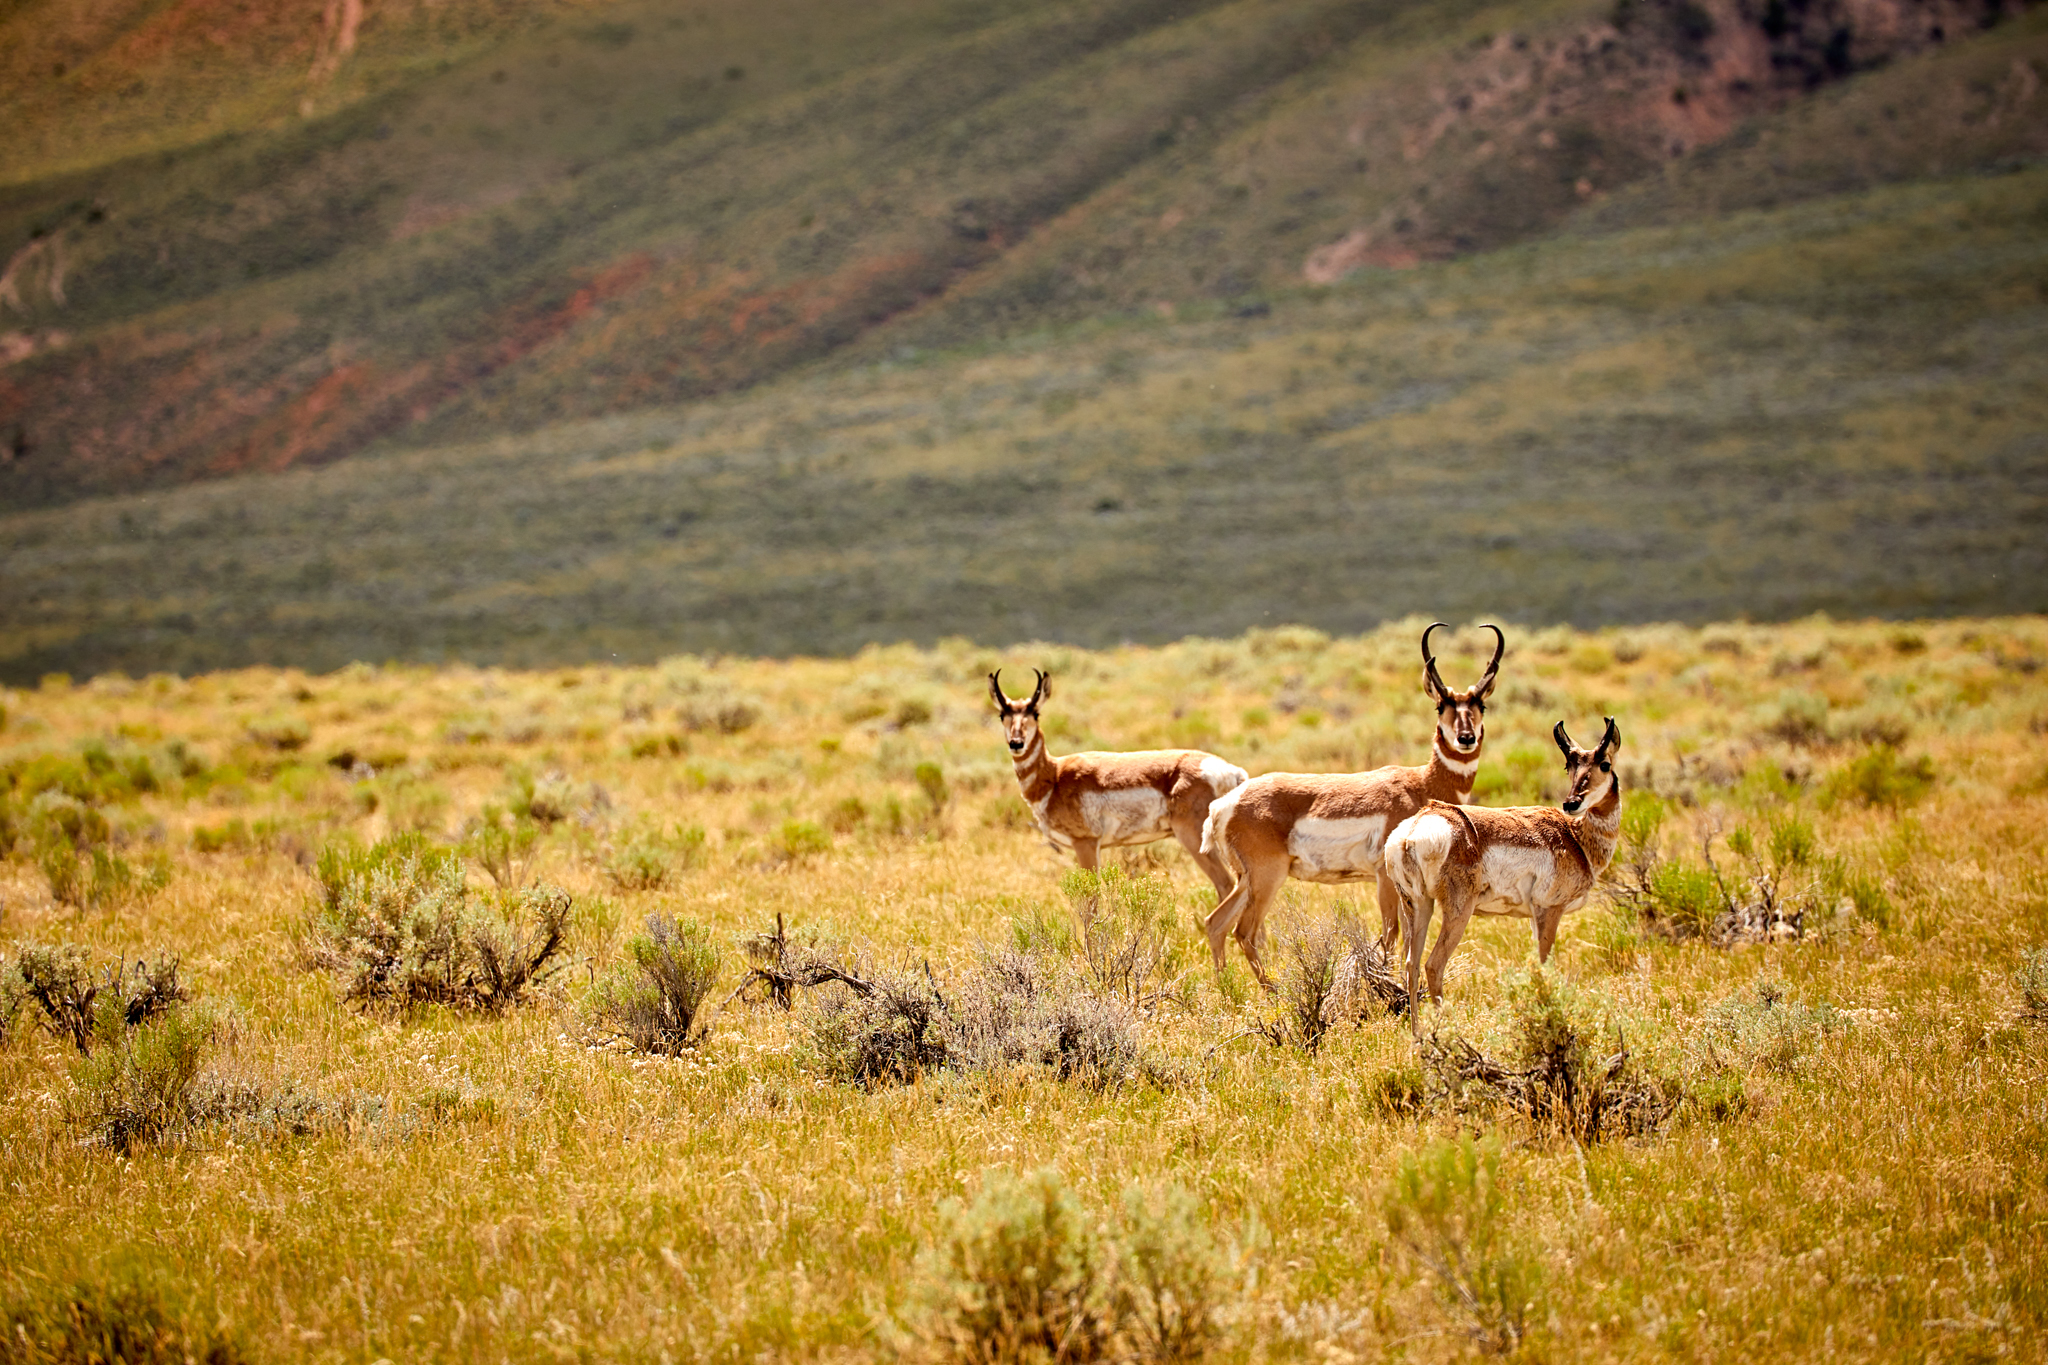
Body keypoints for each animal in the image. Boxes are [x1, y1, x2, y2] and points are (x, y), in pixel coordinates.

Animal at [991, 671, 1245, 900]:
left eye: (1035, 713)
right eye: (1002, 714)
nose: (1016, 743)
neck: (1054, 775)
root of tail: (1232, 771)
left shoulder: (1086, 843)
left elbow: (1090, 900)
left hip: (1194, 840)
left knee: (1226, 884)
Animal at [1196, 626, 1507, 986]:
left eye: (1481, 704)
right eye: (1441, 705)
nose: (1466, 738)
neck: (1422, 783)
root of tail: (1224, 805)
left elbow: (1406, 939)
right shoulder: (1385, 881)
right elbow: (1392, 934)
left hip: (1246, 881)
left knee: (1216, 923)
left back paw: (1225, 987)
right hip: (1267, 878)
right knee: (1244, 932)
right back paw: (1271, 991)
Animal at [1384, 716, 1622, 1035]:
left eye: (1604, 764)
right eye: (1570, 767)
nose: (1571, 803)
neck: (1575, 837)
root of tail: (1415, 827)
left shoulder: (1534, 917)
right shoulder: (1550, 910)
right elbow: (1544, 966)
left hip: (1418, 906)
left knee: (1411, 963)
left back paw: (1418, 1035)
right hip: (1458, 910)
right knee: (1434, 964)